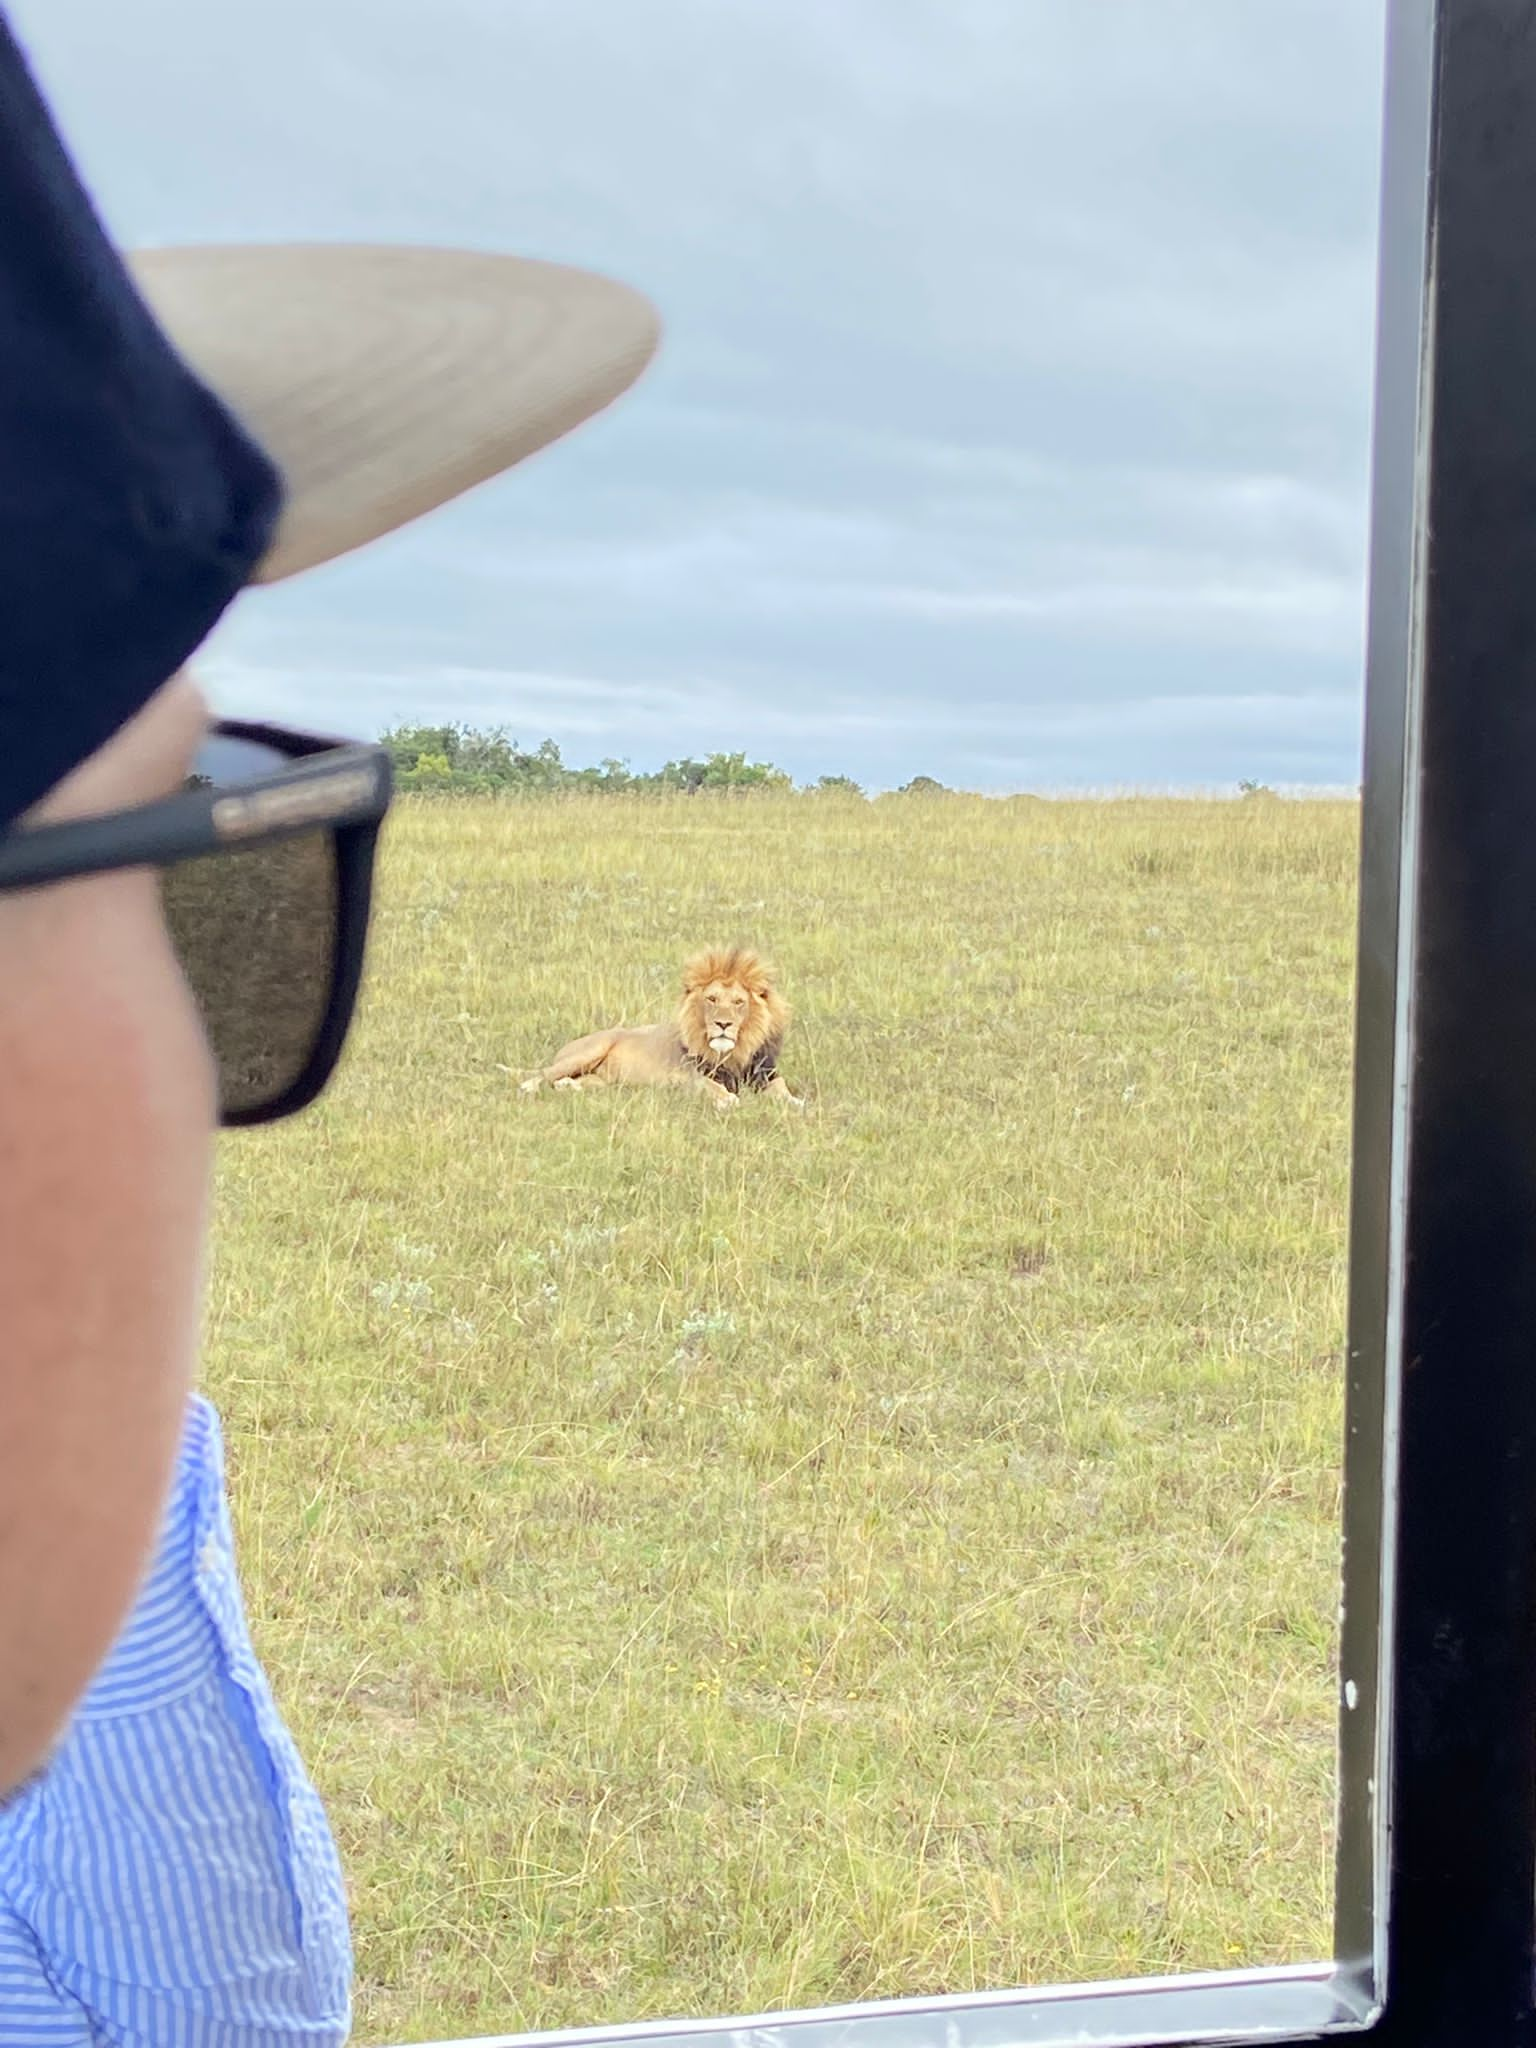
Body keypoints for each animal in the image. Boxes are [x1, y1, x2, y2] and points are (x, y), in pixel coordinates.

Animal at [520, 950, 806, 1114]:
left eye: (738, 1002)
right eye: (712, 999)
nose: (723, 1024)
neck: (733, 1054)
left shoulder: (764, 1075)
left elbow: (782, 1089)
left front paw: (796, 1103)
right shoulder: (684, 1077)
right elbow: (709, 1086)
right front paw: (728, 1101)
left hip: (605, 1082)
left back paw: (569, 1086)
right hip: (589, 1051)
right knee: (541, 1075)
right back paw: (528, 1087)